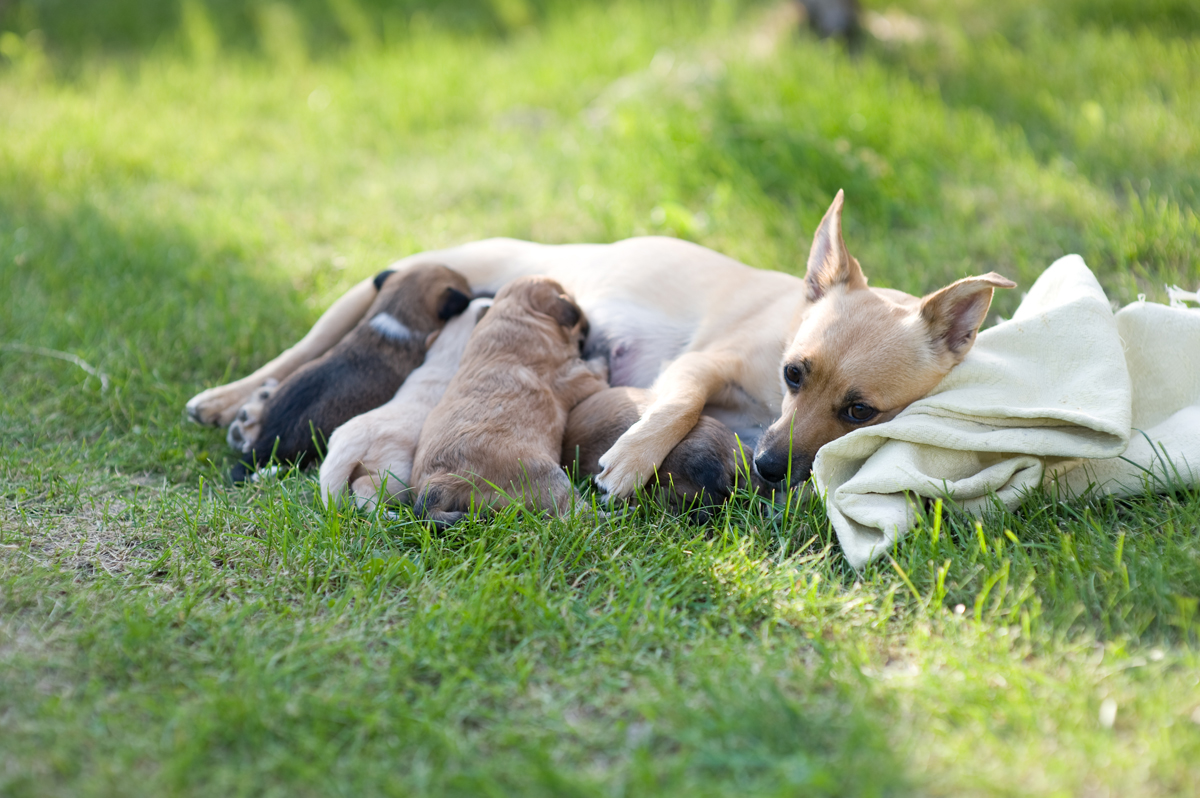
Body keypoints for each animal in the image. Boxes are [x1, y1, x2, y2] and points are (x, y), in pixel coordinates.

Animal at [410, 276, 609, 528]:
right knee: (573, 512)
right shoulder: (581, 376)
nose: (588, 327)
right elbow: (597, 369)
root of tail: (438, 482)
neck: (515, 314)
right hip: (549, 476)